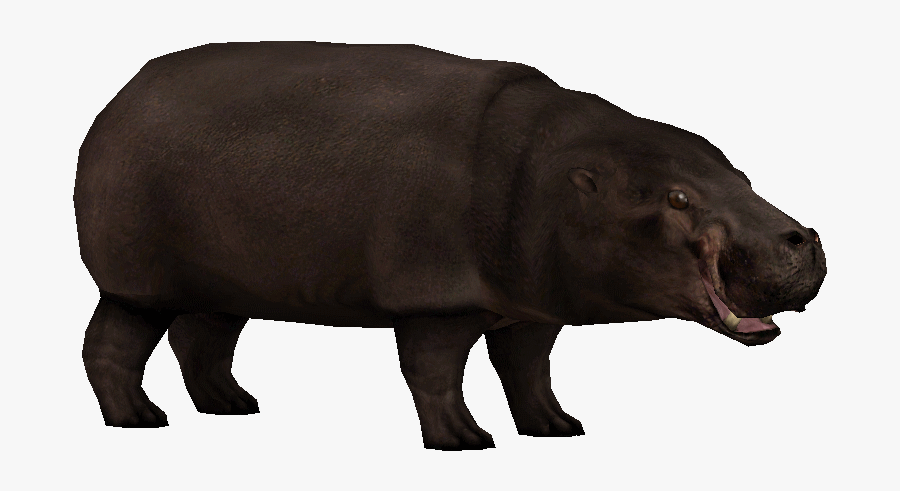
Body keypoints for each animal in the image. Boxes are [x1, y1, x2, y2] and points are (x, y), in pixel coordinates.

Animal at [74, 42, 826, 450]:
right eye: (676, 198)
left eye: (739, 174)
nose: (804, 236)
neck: (558, 176)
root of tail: (121, 96)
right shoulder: (436, 299)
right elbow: (435, 373)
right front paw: (466, 441)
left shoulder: (532, 308)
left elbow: (529, 371)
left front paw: (559, 427)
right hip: (138, 280)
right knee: (111, 345)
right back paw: (140, 421)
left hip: (222, 281)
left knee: (203, 340)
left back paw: (233, 405)